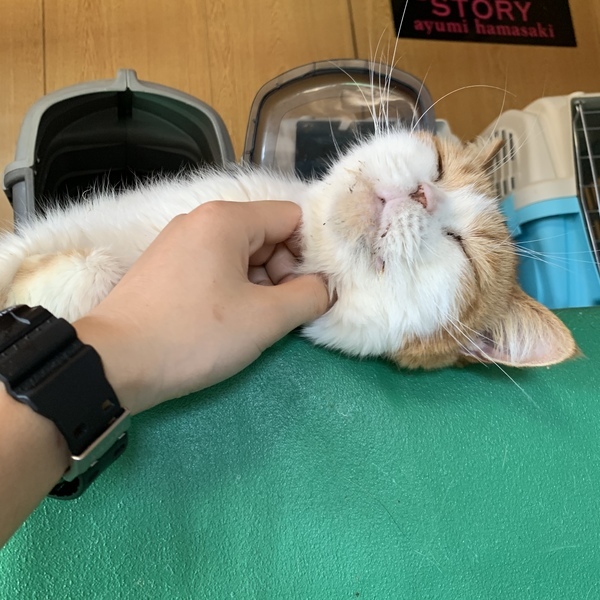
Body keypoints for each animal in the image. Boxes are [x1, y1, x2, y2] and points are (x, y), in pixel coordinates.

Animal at [0, 127, 577, 370]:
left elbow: (85, 277)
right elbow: (21, 255)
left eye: (467, 254)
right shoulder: (44, 233)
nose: (422, 193)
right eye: (437, 162)